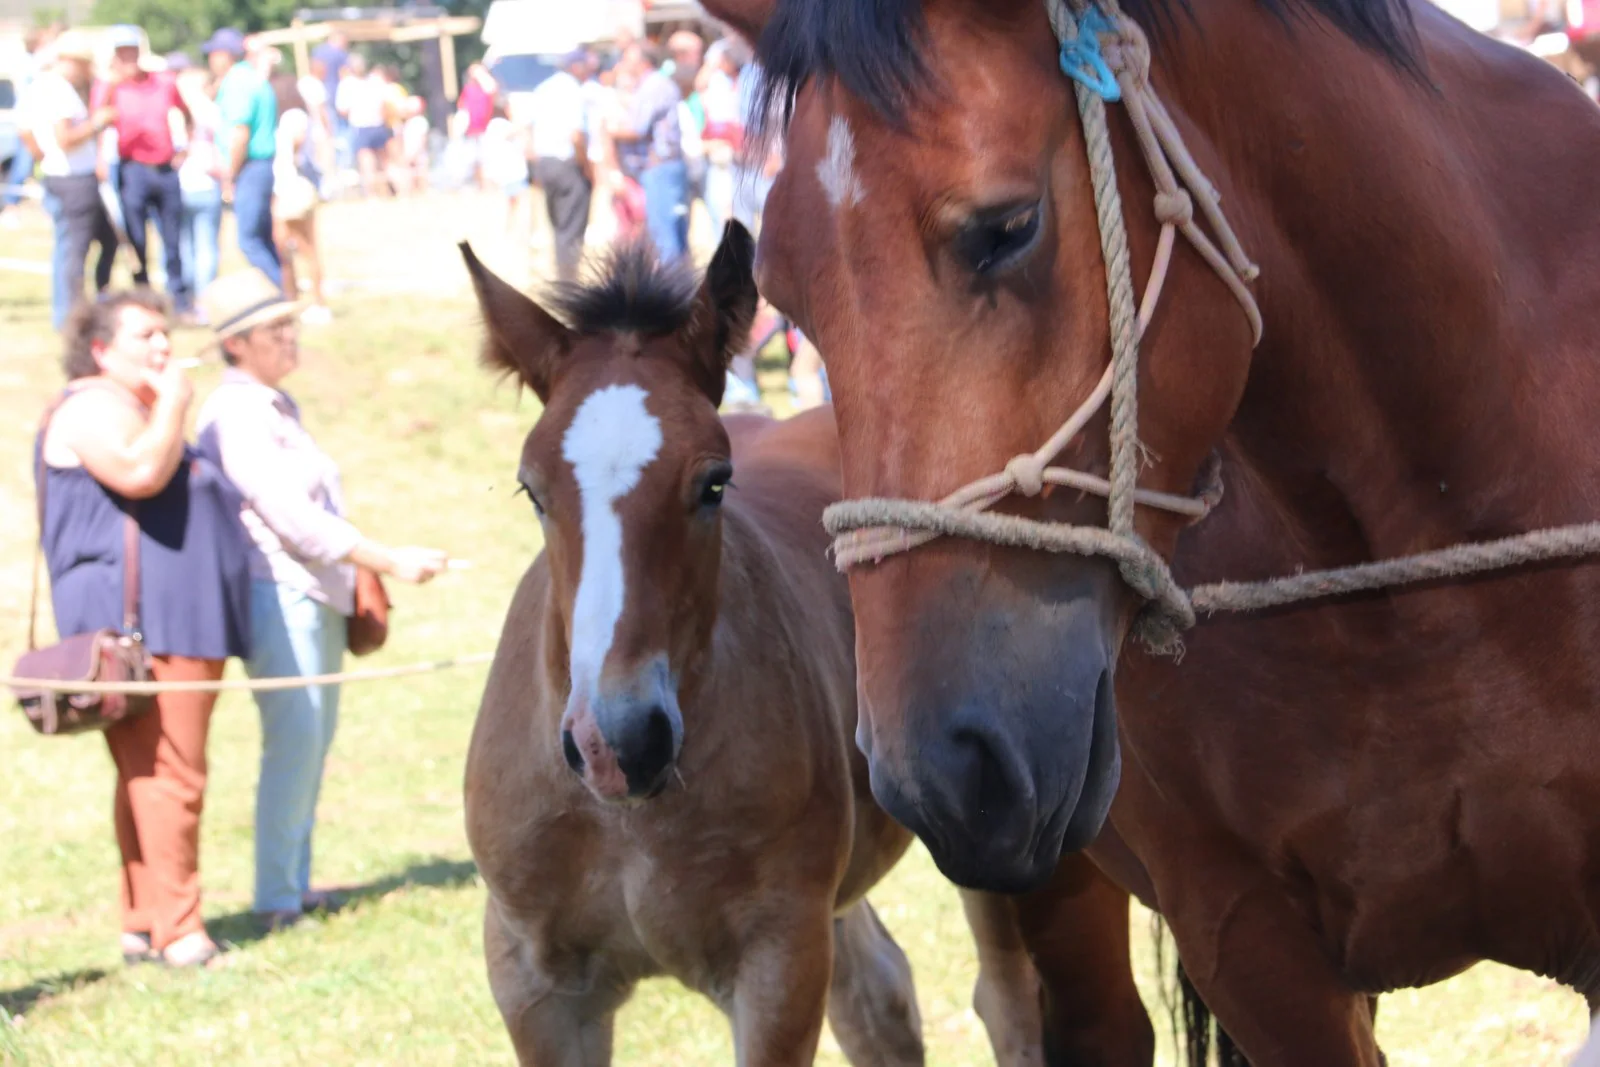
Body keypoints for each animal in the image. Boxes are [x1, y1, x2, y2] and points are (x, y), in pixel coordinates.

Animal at [457, 227, 1145, 1067]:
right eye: (532, 488)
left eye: (714, 482)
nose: (618, 741)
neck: (628, 823)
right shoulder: (536, 984)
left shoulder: (779, 962)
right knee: (879, 999)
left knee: (1004, 1002)